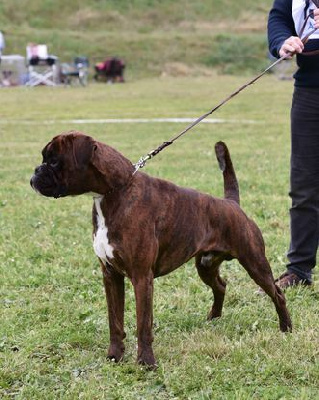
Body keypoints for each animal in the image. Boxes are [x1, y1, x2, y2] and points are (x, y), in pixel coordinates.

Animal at [31, 131, 294, 368]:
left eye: (53, 161)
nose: (35, 172)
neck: (114, 192)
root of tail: (231, 203)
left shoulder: (141, 278)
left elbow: (143, 324)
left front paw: (146, 362)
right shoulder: (111, 276)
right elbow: (114, 322)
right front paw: (114, 356)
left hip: (255, 263)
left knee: (277, 294)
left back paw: (286, 328)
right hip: (206, 265)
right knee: (220, 286)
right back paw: (213, 319)